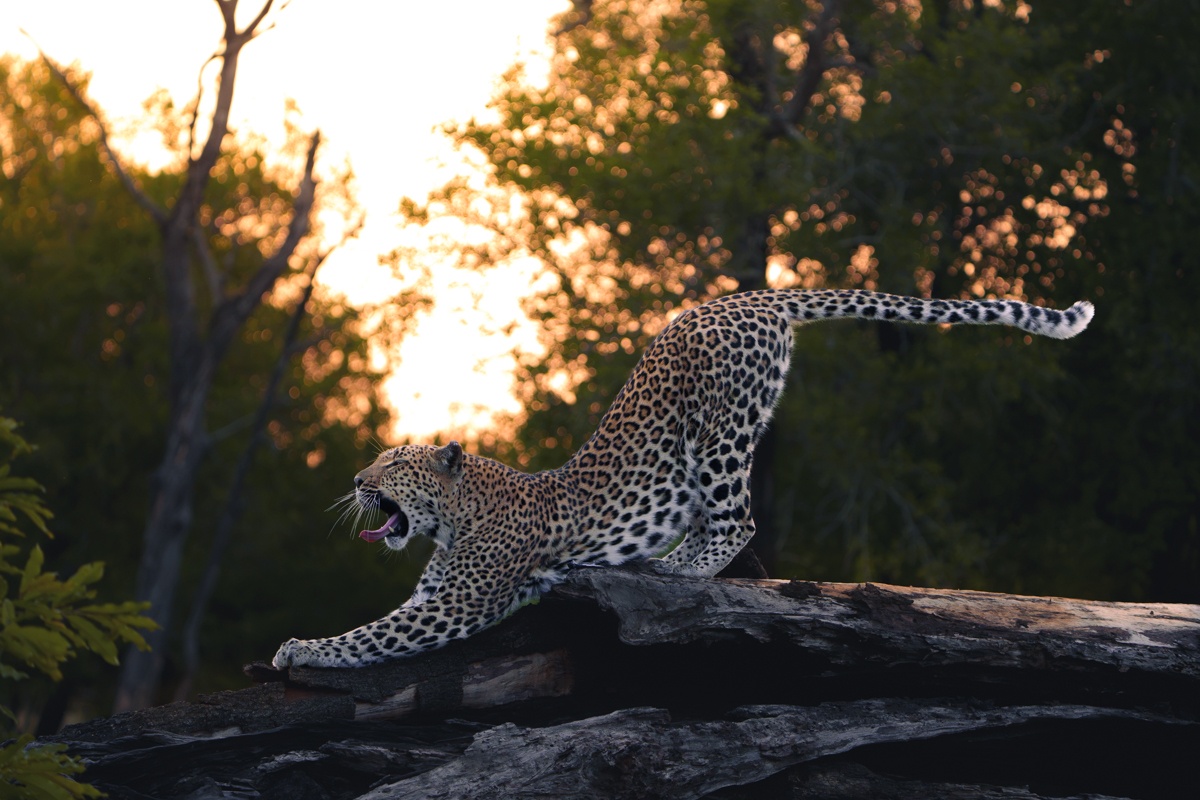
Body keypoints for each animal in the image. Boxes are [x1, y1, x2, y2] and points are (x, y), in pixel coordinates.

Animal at [273, 288, 1093, 668]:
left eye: (393, 466)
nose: (355, 479)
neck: (457, 516)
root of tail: (756, 296)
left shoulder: (459, 604)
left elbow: (373, 634)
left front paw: (301, 649)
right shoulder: (437, 593)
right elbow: (382, 621)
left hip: (718, 427)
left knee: (737, 519)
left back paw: (678, 570)